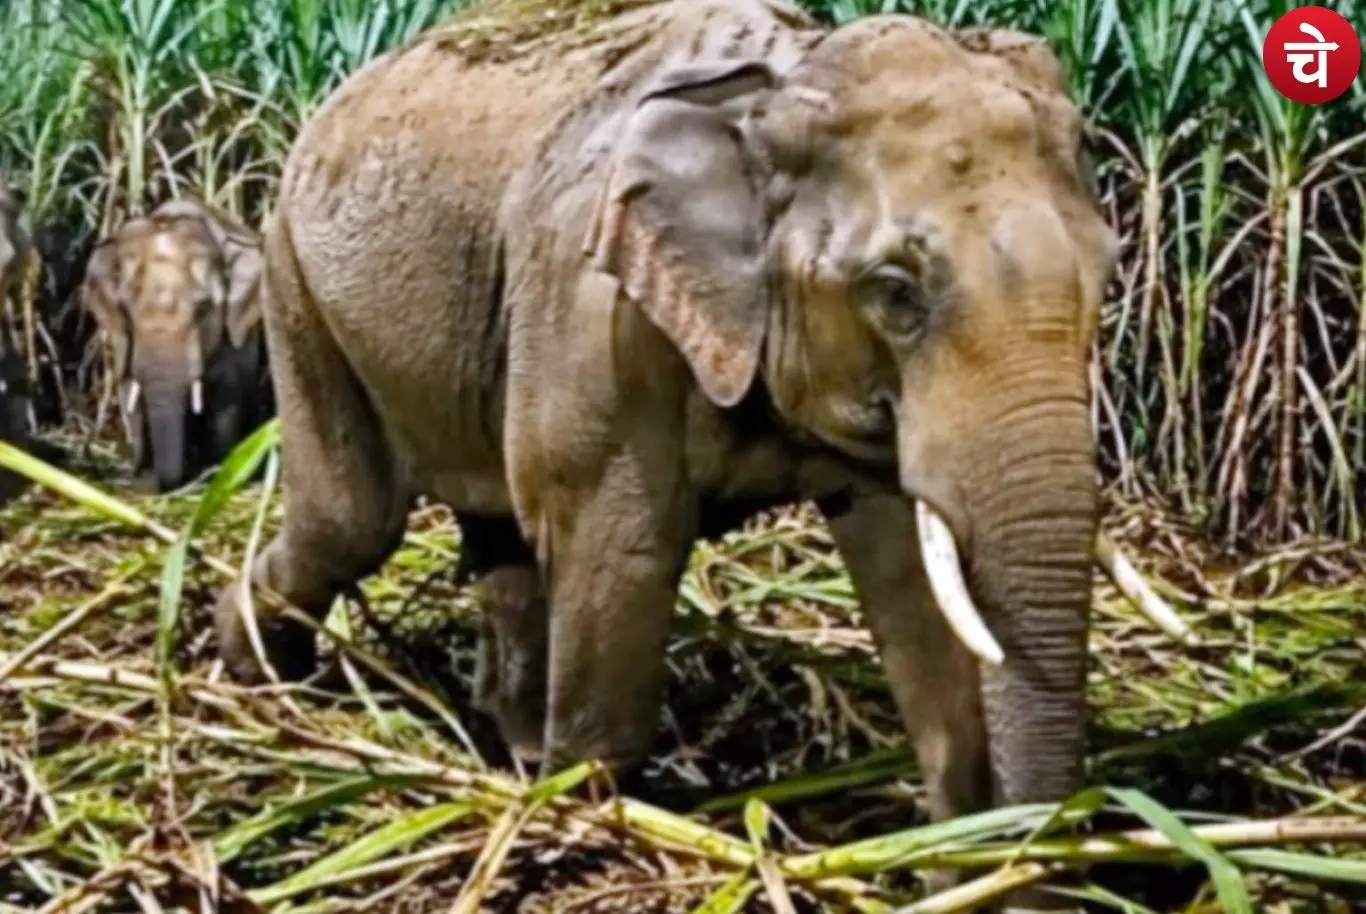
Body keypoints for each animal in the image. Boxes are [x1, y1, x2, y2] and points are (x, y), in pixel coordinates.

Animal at [79, 198, 275, 492]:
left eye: (204, 308)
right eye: (125, 308)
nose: (166, 483)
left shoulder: (235, 339)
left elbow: (227, 398)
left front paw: (216, 474)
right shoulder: (122, 339)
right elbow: (131, 394)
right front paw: (144, 476)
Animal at [212, 2, 1189, 908]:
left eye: (1107, 273)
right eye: (895, 292)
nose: (1037, 866)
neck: (780, 84)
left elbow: (912, 579)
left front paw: (959, 857)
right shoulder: (594, 312)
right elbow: (625, 554)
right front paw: (591, 831)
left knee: (501, 541)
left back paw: (511, 751)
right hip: (297, 282)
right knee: (353, 522)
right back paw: (260, 681)